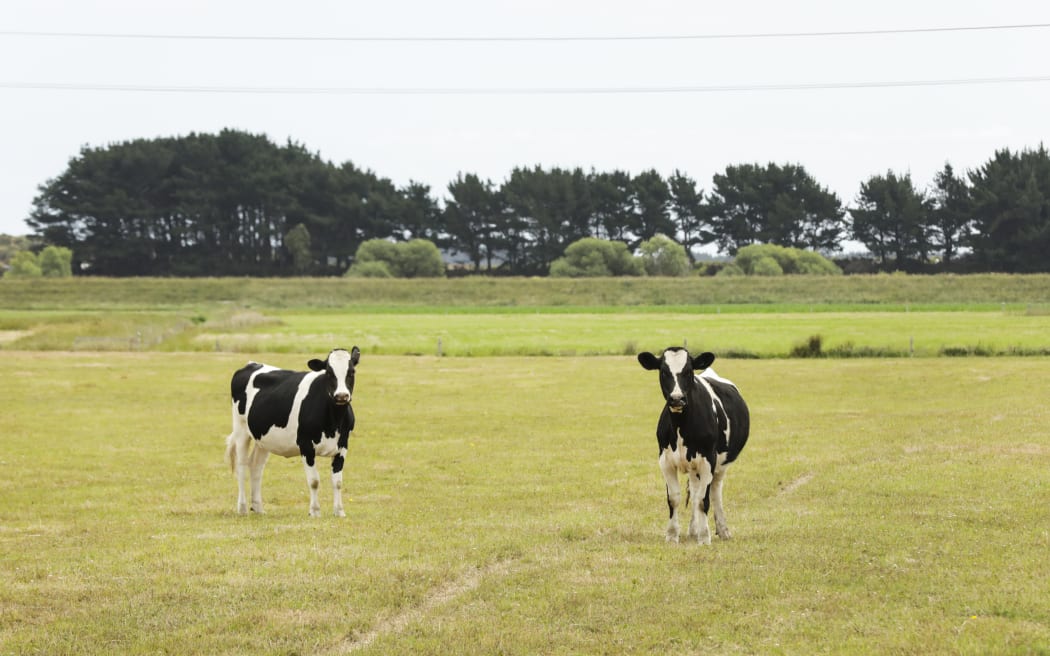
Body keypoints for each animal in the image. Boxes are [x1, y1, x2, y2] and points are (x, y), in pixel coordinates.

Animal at [224, 347, 361, 517]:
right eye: (329, 372)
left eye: (352, 371)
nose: (341, 396)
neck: (333, 423)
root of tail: (251, 364)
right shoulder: (306, 445)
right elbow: (314, 481)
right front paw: (315, 511)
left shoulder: (343, 445)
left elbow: (338, 482)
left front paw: (339, 511)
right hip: (241, 430)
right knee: (242, 466)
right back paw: (242, 508)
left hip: (263, 438)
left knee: (256, 466)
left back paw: (258, 507)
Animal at [637, 347, 749, 544]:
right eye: (663, 371)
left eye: (689, 371)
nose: (677, 399)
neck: (681, 426)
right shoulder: (665, 461)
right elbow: (674, 498)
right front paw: (672, 535)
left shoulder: (708, 460)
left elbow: (702, 501)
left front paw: (704, 537)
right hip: (693, 466)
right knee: (696, 490)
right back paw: (693, 529)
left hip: (721, 464)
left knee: (714, 491)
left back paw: (722, 529)